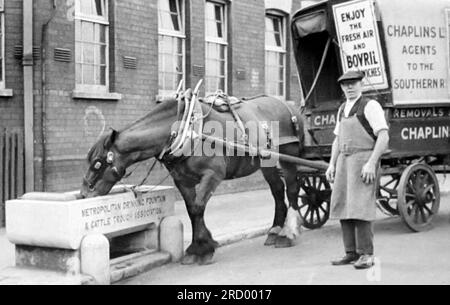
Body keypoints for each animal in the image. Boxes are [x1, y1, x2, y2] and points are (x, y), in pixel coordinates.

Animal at [81, 89, 306, 264]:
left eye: (98, 162)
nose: (83, 195)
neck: (186, 130)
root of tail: (289, 106)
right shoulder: (182, 179)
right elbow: (191, 210)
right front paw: (201, 245)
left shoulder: (213, 174)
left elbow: (198, 208)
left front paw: (203, 249)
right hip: (267, 162)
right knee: (278, 191)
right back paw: (275, 230)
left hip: (289, 155)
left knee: (292, 189)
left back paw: (288, 232)